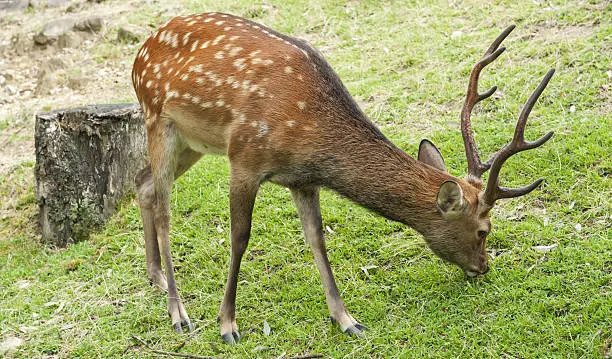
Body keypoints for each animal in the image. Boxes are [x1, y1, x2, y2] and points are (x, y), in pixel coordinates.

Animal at [130, 13, 556, 346]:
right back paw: (178, 312)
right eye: (484, 230)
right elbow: (240, 238)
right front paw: (227, 325)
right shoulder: (245, 157)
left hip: (194, 143)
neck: (310, 134)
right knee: (165, 209)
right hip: (157, 118)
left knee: (142, 181)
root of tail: (142, 48)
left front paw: (347, 320)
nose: (483, 268)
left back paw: (156, 277)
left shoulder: (302, 179)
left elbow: (317, 239)